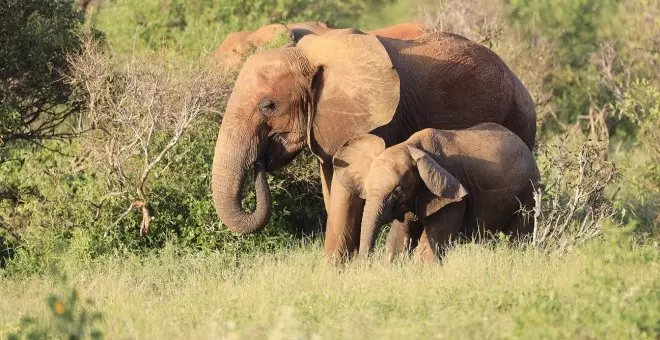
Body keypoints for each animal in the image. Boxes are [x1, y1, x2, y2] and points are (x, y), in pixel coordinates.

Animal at [332, 123, 540, 262]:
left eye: (397, 191)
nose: (362, 263)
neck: (410, 145)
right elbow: (399, 239)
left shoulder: (452, 194)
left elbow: (430, 244)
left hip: (528, 193)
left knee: (520, 237)